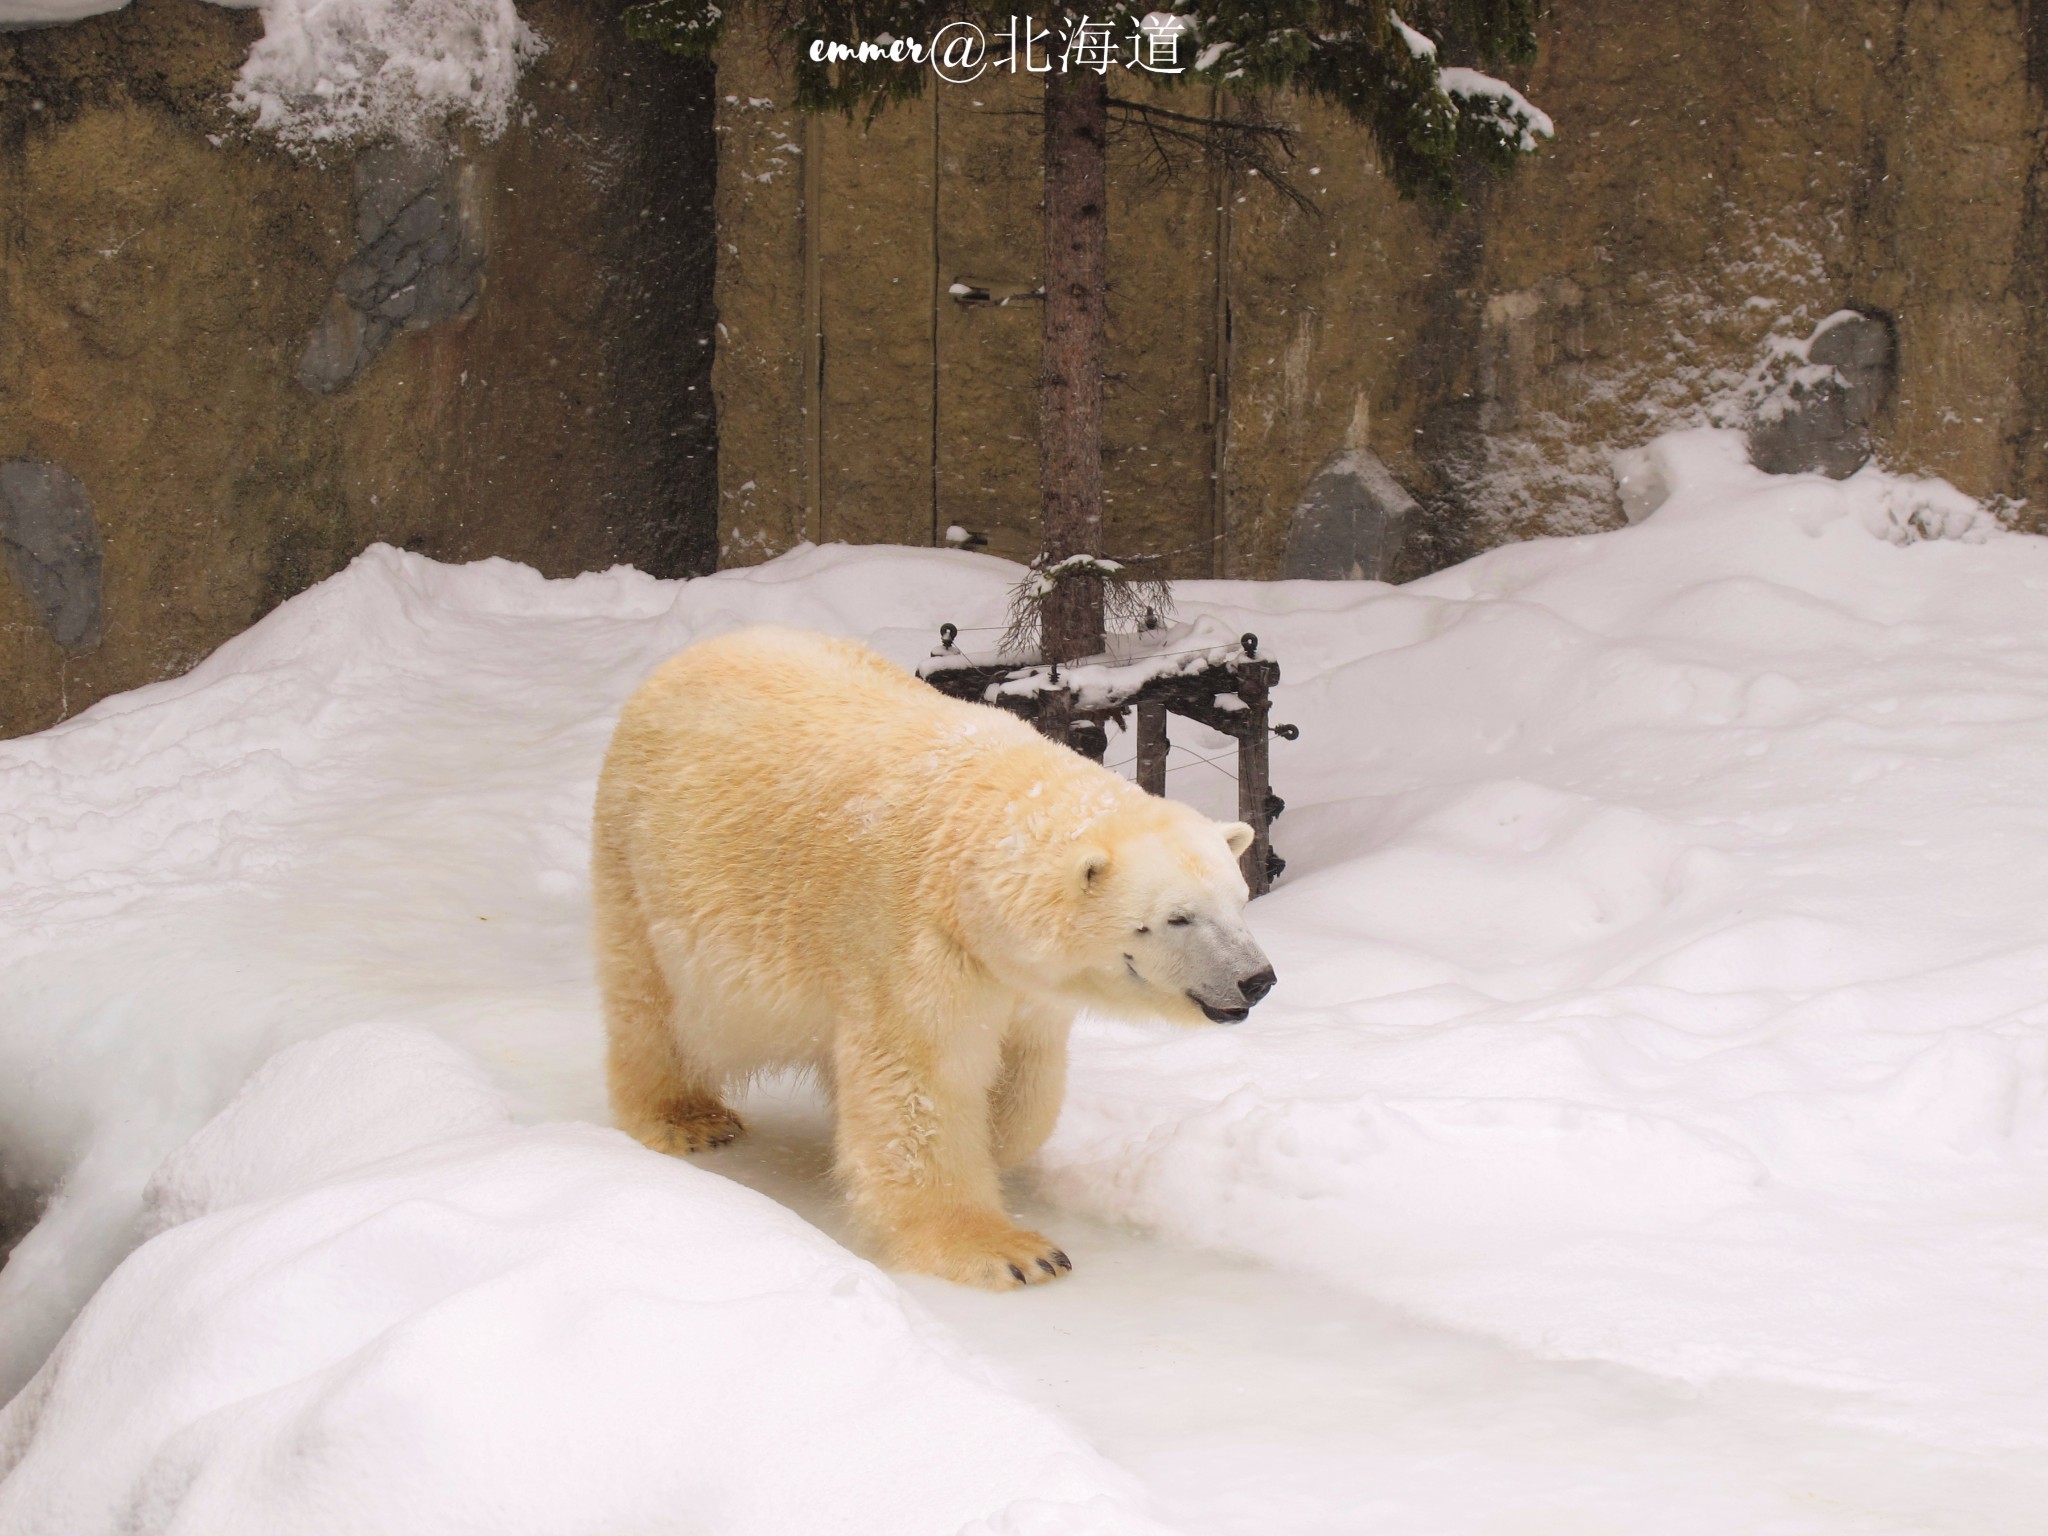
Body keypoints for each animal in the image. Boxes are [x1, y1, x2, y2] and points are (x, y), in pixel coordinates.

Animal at [585, 626, 1269, 1286]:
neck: (969, 847)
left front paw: (996, 1145)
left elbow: (1024, 1074)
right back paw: (686, 1118)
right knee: (652, 1005)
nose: (1256, 980)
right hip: (643, 868)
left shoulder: (1019, 981)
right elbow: (921, 1086)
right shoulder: (909, 940)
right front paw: (1011, 1252)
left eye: (1238, 900)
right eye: (1177, 917)